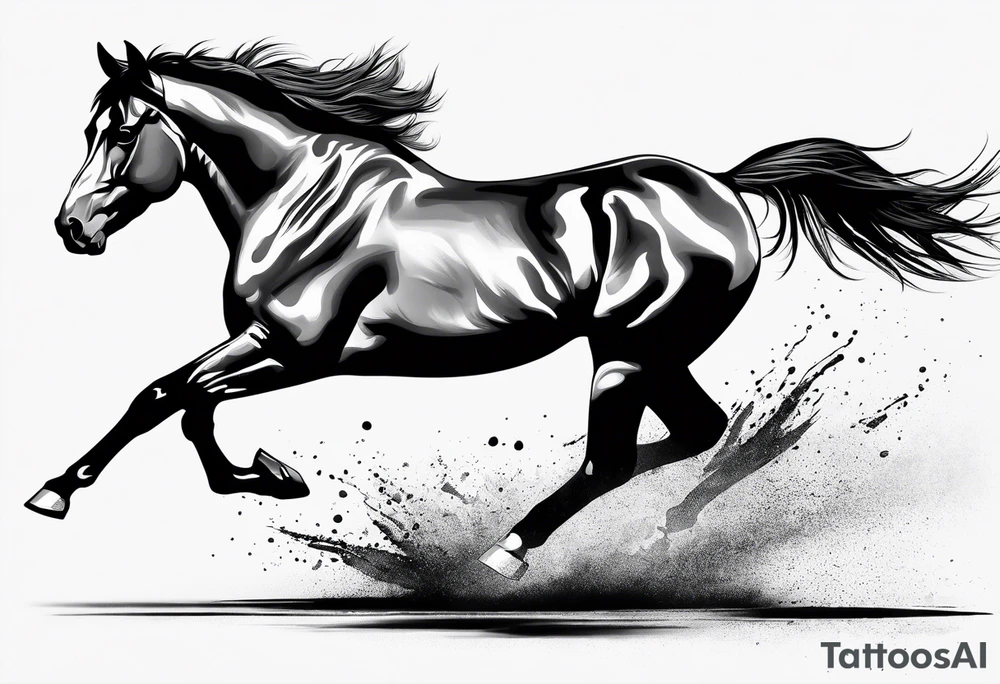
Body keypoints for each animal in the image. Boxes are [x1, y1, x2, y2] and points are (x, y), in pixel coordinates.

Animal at [26, 41, 999, 580]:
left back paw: (510, 551)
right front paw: (262, 475)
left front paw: (258, 475)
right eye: (87, 129)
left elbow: (177, 399)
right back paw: (660, 534)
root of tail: (721, 186)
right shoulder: (268, 345)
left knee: (613, 460)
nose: (72, 228)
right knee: (694, 433)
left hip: (627, 352)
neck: (298, 193)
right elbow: (171, 400)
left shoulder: (301, 349)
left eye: (122, 132)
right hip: (652, 352)